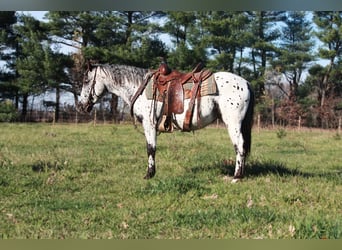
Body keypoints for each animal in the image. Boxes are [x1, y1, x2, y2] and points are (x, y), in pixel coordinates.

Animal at [77, 63, 254, 183]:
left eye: (86, 80)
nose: (80, 106)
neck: (139, 87)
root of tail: (245, 83)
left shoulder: (149, 124)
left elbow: (150, 149)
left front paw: (149, 174)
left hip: (233, 123)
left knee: (239, 146)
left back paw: (237, 176)